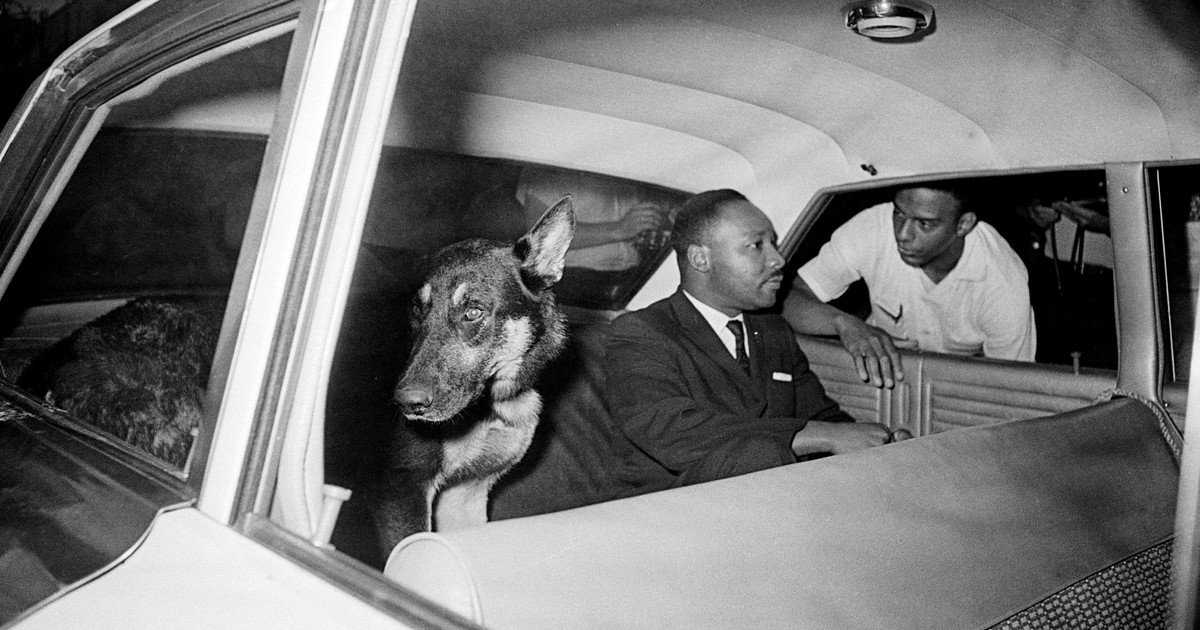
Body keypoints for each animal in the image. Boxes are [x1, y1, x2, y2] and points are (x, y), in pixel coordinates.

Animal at [373, 197, 575, 552]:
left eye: (473, 312)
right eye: (418, 310)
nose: (406, 404)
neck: (492, 405)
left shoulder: (465, 494)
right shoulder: (401, 493)